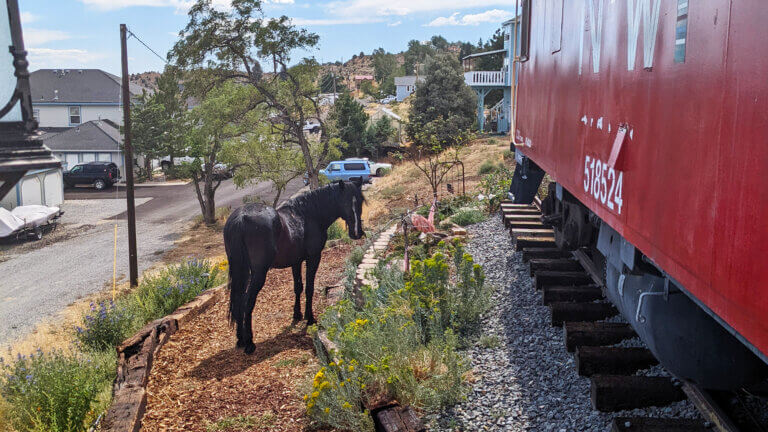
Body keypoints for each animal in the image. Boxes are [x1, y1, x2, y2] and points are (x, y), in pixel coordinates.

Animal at [222, 181, 366, 352]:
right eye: (345, 202)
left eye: (360, 201)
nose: (357, 233)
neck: (308, 215)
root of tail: (241, 218)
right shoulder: (313, 258)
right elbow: (309, 288)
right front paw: (310, 318)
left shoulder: (296, 262)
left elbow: (298, 287)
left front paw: (297, 314)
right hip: (258, 273)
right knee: (246, 302)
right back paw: (249, 342)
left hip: (242, 270)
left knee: (238, 299)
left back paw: (240, 339)